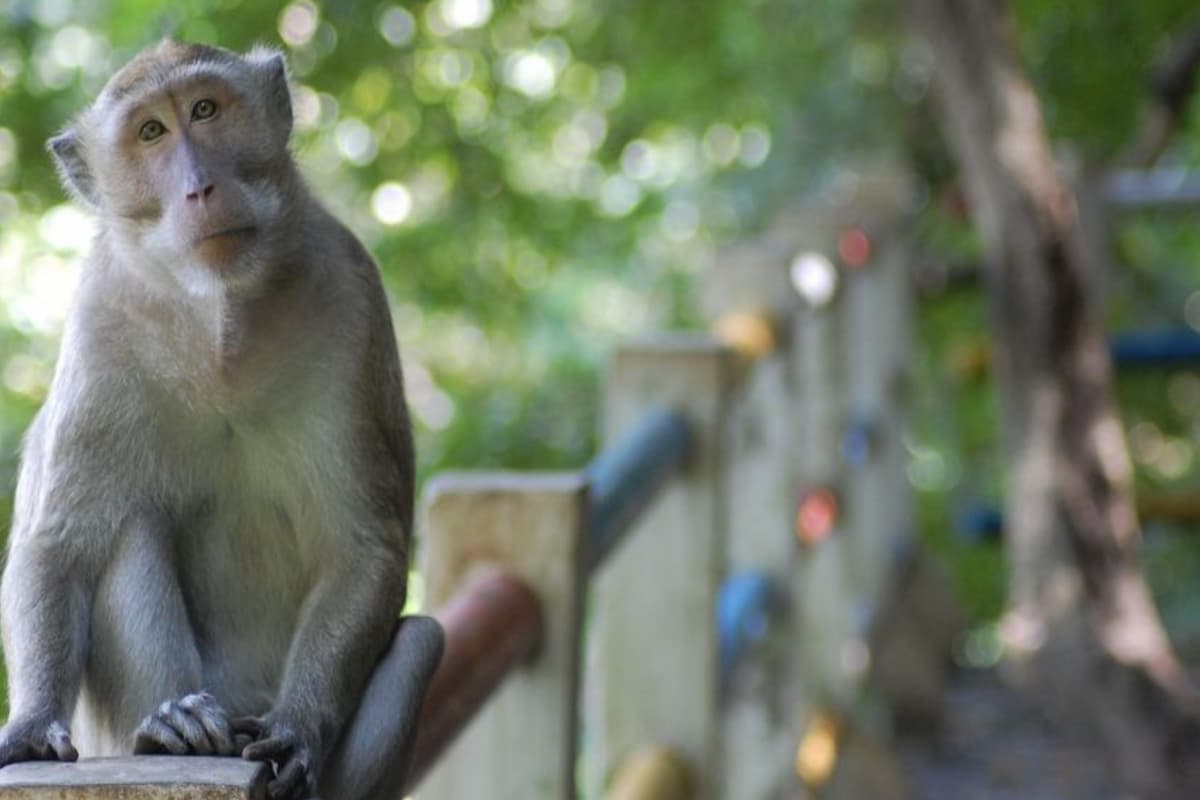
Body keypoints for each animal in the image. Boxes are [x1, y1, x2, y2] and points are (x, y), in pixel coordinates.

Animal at [0, 42, 446, 800]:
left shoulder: (350, 294)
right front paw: (30, 725)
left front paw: (298, 727)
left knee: (420, 642)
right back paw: (171, 729)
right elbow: (57, 544)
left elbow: (361, 548)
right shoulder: (100, 320)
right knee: (128, 530)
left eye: (205, 110)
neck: (220, 322)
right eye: (151, 132)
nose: (199, 187)